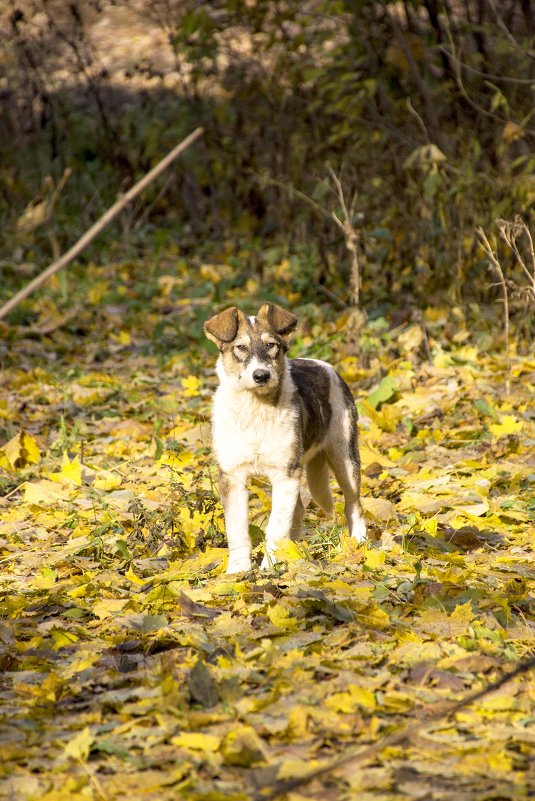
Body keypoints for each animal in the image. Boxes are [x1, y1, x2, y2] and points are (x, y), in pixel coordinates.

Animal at [203, 304, 366, 572]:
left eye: (272, 345)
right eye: (240, 347)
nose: (261, 375)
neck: (255, 410)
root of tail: (323, 365)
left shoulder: (286, 474)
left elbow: (276, 526)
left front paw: (271, 565)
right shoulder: (232, 475)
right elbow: (237, 528)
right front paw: (238, 569)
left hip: (345, 458)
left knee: (354, 505)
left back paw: (360, 545)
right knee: (298, 510)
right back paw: (294, 550)